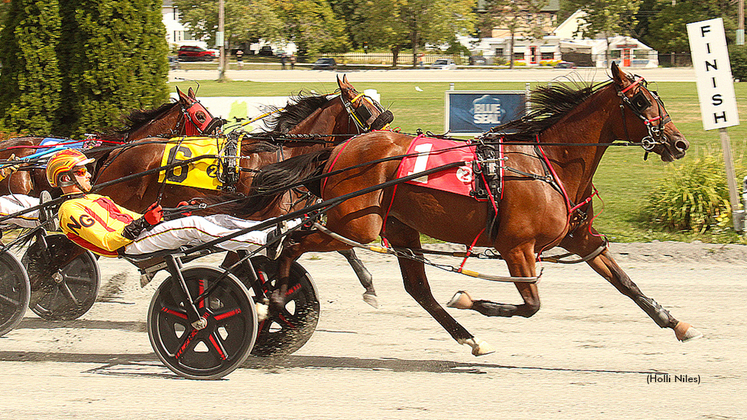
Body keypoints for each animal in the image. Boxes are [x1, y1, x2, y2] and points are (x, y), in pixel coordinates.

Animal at [244, 64, 700, 356]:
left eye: (655, 98)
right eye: (642, 102)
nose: (679, 143)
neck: (548, 162)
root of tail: (340, 150)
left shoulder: (580, 237)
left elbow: (625, 282)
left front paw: (675, 322)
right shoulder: (517, 247)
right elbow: (531, 305)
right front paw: (470, 299)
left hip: (399, 226)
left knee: (418, 290)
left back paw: (468, 338)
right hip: (357, 224)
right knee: (291, 243)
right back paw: (273, 301)